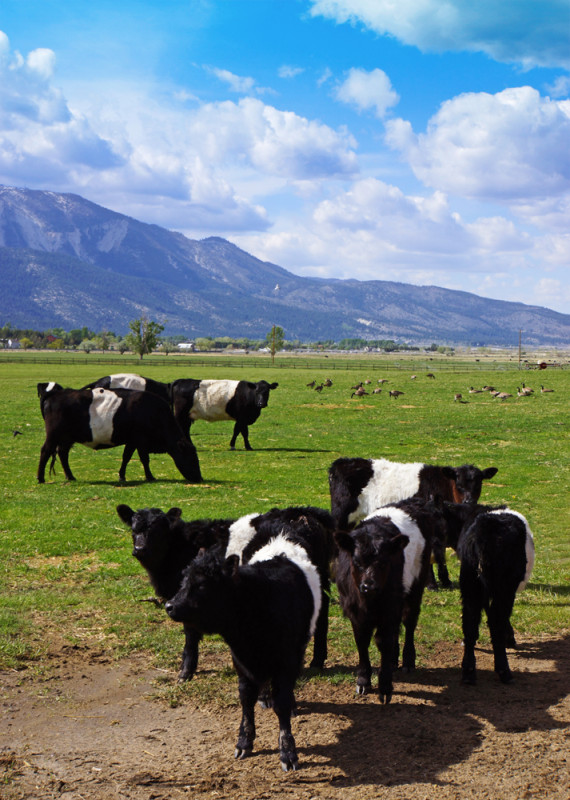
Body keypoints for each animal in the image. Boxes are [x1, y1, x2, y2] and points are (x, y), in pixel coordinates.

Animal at [36, 384, 201, 484]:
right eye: (192, 458)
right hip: (54, 435)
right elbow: (144, 459)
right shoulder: (141, 440)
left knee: (62, 454)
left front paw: (122, 475)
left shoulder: (132, 441)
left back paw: (70, 476)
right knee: (46, 451)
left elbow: (126, 457)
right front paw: (150, 476)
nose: (199, 478)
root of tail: (55, 394)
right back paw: (40, 477)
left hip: (66, 438)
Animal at [164, 536, 320, 772]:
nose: (169, 605)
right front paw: (244, 741)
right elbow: (246, 699)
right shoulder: (241, 661)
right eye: (183, 582)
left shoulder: (287, 661)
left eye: (202, 584)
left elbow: (282, 703)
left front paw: (288, 752)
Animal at [326, 456, 494, 588]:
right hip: (341, 516)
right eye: (459, 485)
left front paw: (445, 581)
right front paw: (431, 584)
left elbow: (440, 554)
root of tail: (341, 462)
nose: (469, 501)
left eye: (478, 484)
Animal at [332, 496, 444, 704]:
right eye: (356, 562)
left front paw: (384, 686)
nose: (369, 586)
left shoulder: (390, 607)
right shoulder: (355, 611)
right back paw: (393, 660)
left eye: (384, 563)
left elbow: (383, 641)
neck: (369, 602)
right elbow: (362, 641)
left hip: (416, 586)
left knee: (409, 622)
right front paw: (363, 680)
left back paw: (407, 660)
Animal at [440, 504, 532, 684]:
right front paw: (510, 638)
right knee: (496, 620)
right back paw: (504, 671)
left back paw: (468, 672)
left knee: (470, 619)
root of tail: (485, 527)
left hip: (470, 583)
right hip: (503, 587)